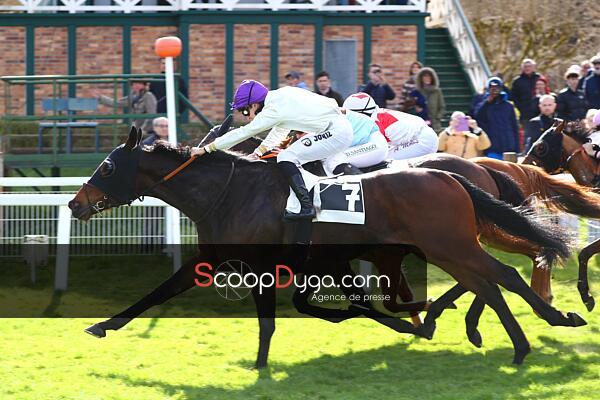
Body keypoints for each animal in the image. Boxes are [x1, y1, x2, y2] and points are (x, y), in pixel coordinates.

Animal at [68, 127, 586, 366]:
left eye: (108, 167)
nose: (75, 203)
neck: (231, 191)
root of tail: (456, 175)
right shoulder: (216, 259)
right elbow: (158, 293)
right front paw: (102, 325)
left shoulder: (268, 264)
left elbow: (270, 319)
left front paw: (260, 365)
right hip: (448, 246)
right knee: (490, 283)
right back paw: (513, 336)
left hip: (449, 244)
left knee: (501, 276)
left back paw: (536, 328)